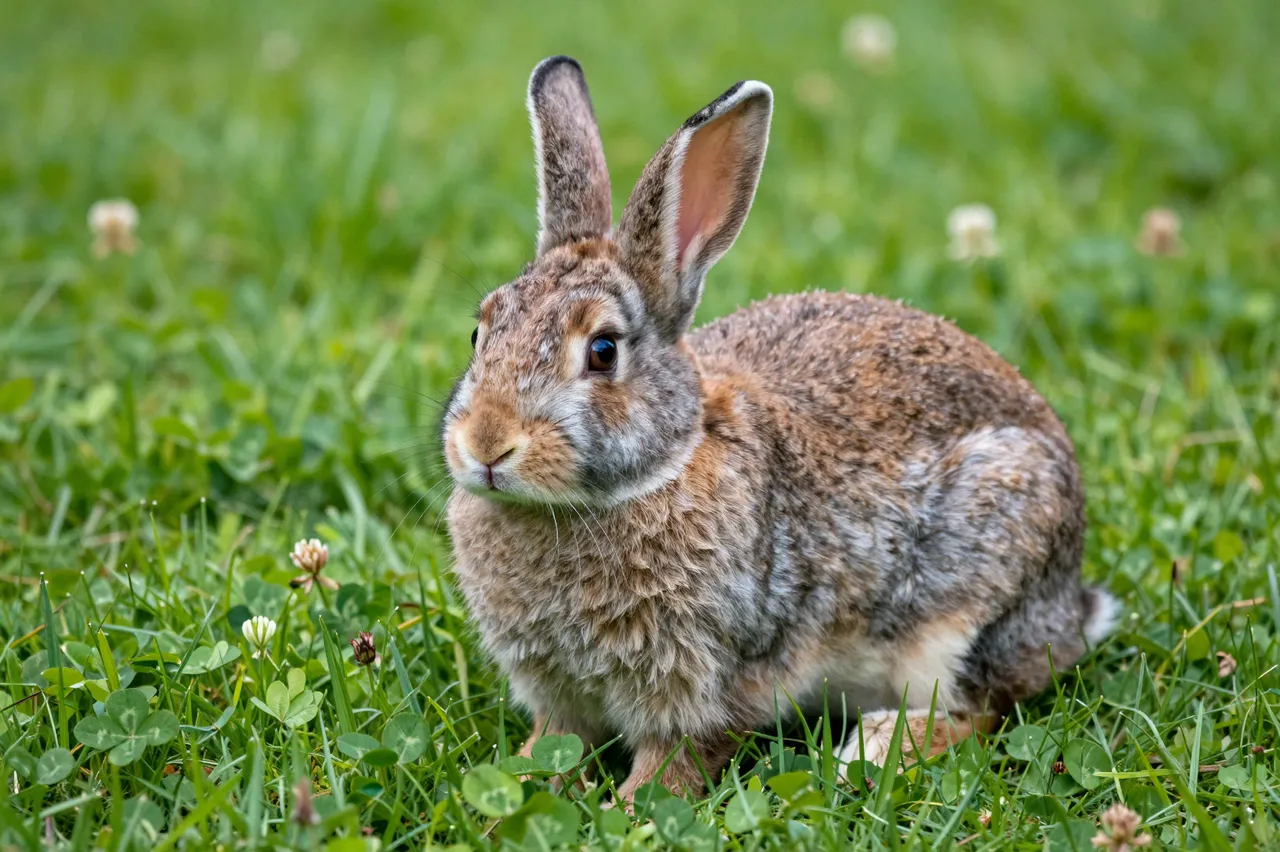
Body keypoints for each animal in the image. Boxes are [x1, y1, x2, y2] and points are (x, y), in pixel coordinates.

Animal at [443, 56, 1118, 801]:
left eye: (603, 351)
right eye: (480, 332)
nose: (486, 446)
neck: (655, 470)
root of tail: (1073, 607)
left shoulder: (706, 682)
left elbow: (672, 765)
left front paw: (632, 808)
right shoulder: (559, 693)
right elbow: (551, 747)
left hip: (971, 598)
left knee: (981, 709)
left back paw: (874, 750)